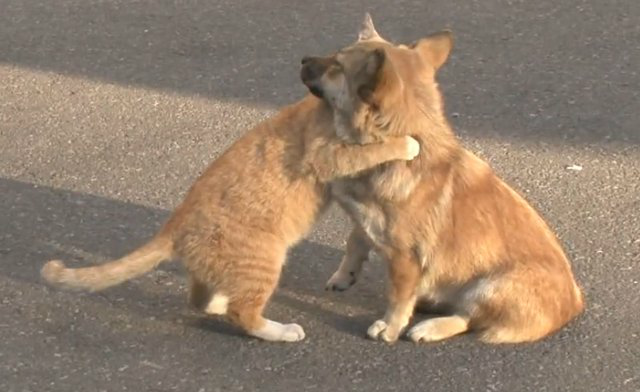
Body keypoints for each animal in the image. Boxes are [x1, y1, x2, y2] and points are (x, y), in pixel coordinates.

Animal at [40, 91, 420, 340]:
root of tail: (174, 225)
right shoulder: (329, 156)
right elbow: (374, 150)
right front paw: (406, 143)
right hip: (265, 258)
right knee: (244, 315)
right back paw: (280, 330)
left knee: (200, 299)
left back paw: (220, 301)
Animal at [302, 13, 584, 344]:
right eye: (335, 54)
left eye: (337, 66)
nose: (303, 59)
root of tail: (575, 303)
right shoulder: (364, 220)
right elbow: (355, 240)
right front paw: (344, 275)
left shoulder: (406, 259)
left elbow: (398, 297)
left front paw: (390, 326)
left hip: (489, 286)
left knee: (468, 318)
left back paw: (430, 327)